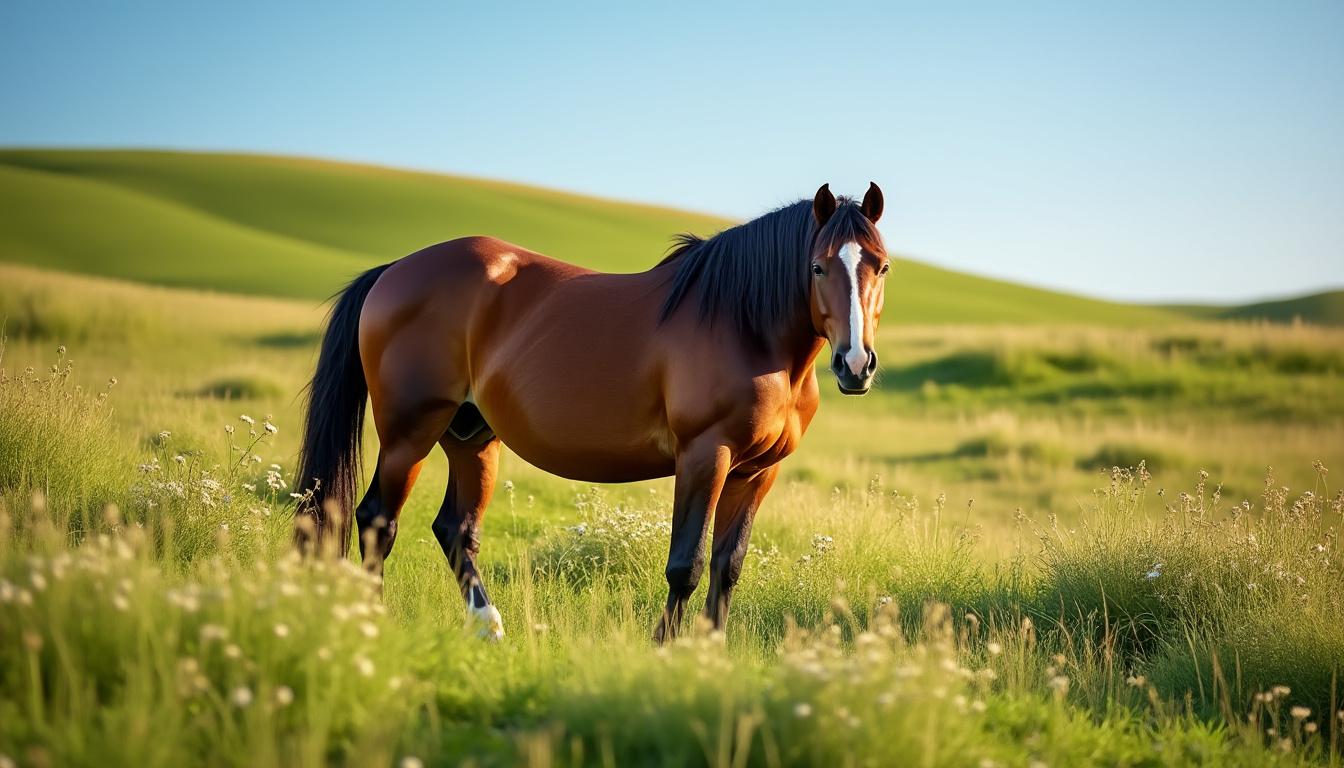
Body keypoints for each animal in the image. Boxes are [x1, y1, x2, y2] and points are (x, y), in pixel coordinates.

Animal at [294, 182, 890, 642]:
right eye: (817, 267)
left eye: (881, 267)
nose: (855, 364)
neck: (745, 326)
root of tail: (397, 268)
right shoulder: (705, 456)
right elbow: (687, 565)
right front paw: (666, 650)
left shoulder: (759, 471)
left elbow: (728, 566)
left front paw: (710, 654)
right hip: (409, 433)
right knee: (377, 519)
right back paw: (371, 622)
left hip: (471, 436)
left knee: (455, 529)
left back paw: (487, 626)